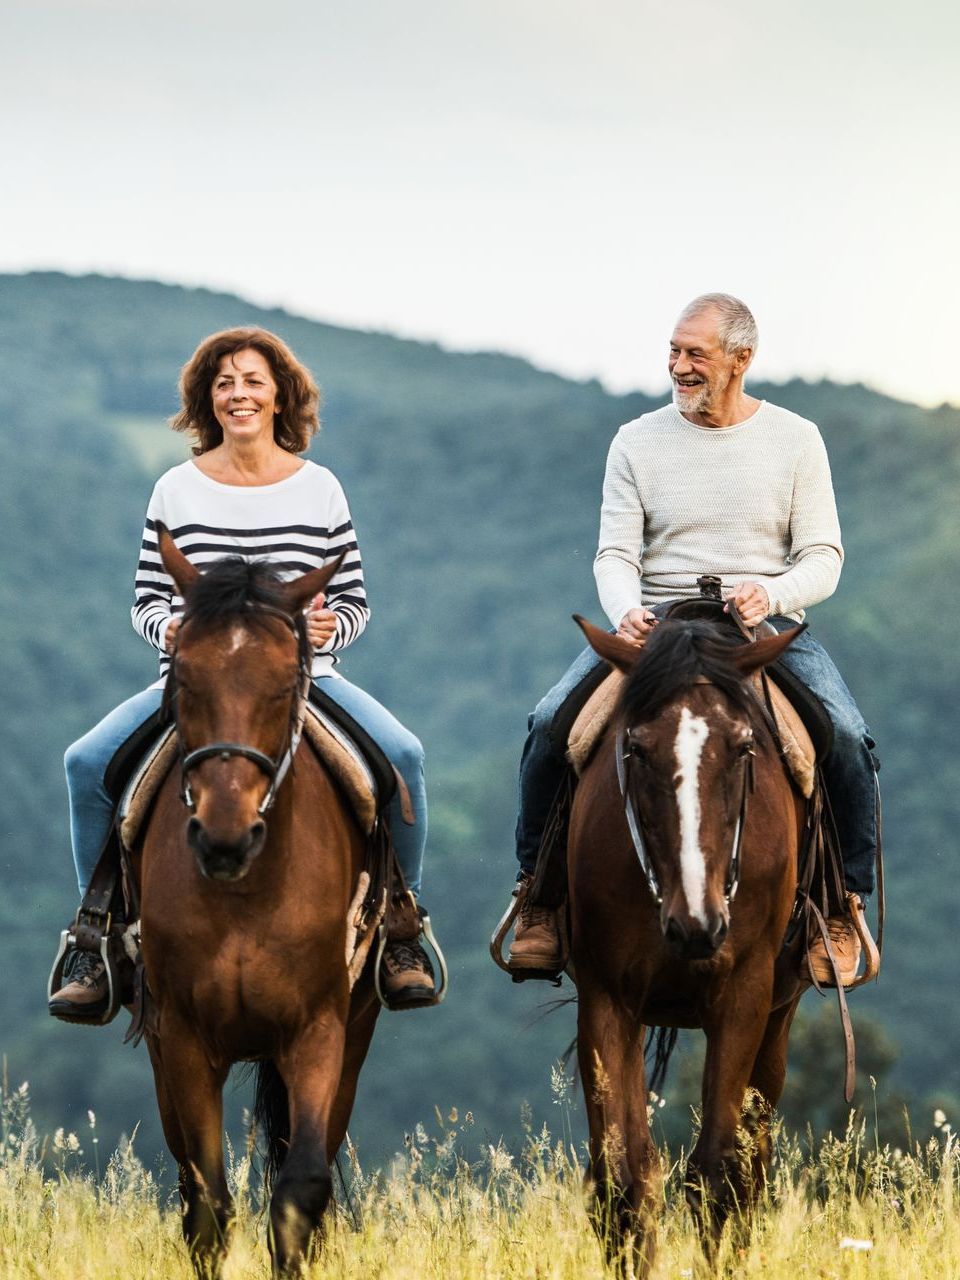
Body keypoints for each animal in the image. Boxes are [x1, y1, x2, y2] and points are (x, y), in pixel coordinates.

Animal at [138, 524, 384, 1274]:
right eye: (184, 677)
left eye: (283, 687)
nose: (225, 837)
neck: (247, 891)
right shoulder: (183, 1038)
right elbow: (207, 1204)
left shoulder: (318, 1030)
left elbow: (301, 1187)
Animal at [570, 614, 814, 1274]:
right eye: (635, 749)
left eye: (745, 747)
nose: (696, 925)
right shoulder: (606, 997)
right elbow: (624, 1181)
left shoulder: (744, 995)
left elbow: (717, 1173)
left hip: (780, 1018)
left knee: (752, 1165)